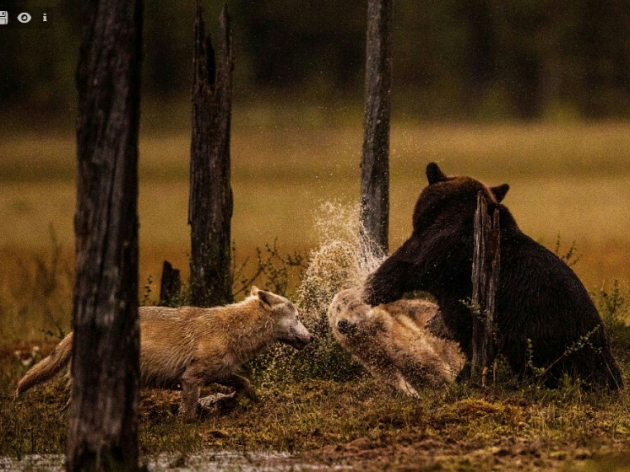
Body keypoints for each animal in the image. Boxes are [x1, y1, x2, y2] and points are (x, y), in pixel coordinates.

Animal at [18, 288, 314, 420]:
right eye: (299, 317)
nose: (312, 338)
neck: (232, 330)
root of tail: (74, 332)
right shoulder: (191, 378)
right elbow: (189, 413)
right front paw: (187, 427)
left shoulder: (220, 372)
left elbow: (245, 383)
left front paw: (243, 402)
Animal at [330, 290, 464, 396]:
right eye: (337, 309)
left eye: (353, 306)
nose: (342, 322)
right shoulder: (378, 363)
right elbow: (396, 379)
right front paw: (412, 393)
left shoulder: (412, 350)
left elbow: (435, 366)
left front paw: (451, 386)